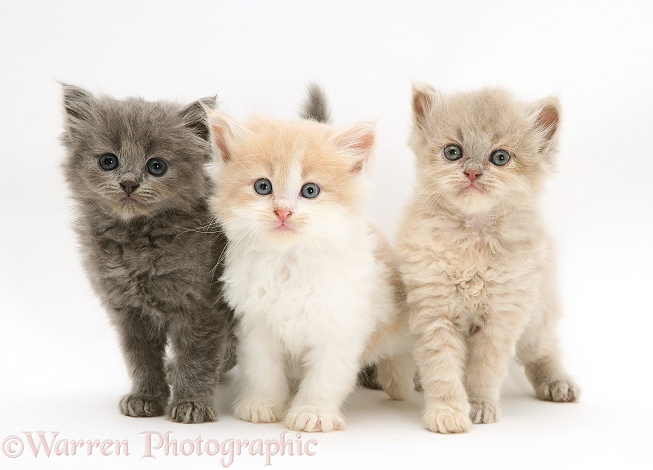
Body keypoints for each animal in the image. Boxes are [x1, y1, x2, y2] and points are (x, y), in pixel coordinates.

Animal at [60, 83, 234, 422]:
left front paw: (192, 403)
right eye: (108, 161)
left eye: (157, 166)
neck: (136, 241)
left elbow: (197, 357)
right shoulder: (129, 311)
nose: (129, 183)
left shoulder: (201, 307)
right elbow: (140, 359)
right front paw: (146, 397)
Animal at [206, 86, 416, 432]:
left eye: (310, 191)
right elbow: (263, 372)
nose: (283, 212)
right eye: (263, 187)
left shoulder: (341, 327)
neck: (289, 264)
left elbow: (324, 379)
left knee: (400, 353)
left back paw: (399, 384)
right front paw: (262, 405)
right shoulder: (255, 327)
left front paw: (312, 413)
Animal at [400, 83, 580, 434]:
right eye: (453, 152)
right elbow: (442, 369)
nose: (472, 172)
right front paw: (447, 412)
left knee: (544, 350)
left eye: (500, 157)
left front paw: (479, 405)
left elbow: (484, 370)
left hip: (536, 318)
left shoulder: (502, 316)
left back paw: (557, 383)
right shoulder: (433, 311)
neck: (473, 235)